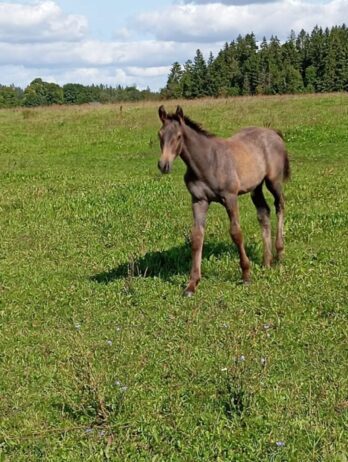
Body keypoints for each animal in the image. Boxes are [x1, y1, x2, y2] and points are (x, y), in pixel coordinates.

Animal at [156, 105, 290, 296]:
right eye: (159, 135)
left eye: (179, 136)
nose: (163, 165)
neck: (206, 162)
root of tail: (274, 133)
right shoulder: (199, 200)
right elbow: (197, 236)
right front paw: (192, 284)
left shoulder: (230, 197)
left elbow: (236, 233)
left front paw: (246, 275)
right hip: (256, 187)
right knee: (264, 213)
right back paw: (266, 262)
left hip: (273, 181)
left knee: (280, 205)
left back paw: (280, 254)